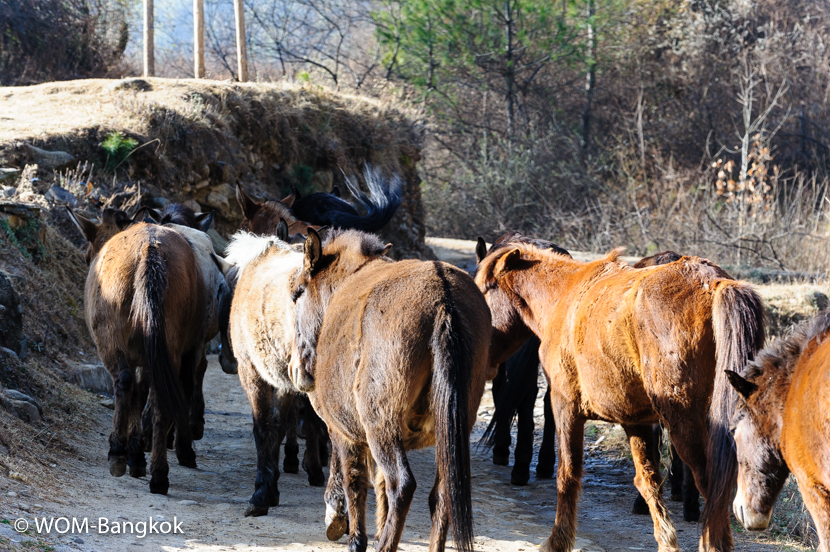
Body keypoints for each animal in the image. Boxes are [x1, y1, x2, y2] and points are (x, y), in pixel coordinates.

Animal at [290, 227, 494, 552]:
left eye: (297, 293)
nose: (299, 372)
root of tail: (443, 297)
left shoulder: (345, 434)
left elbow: (354, 481)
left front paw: (353, 536)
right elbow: (380, 486)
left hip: (380, 426)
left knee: (402, 484)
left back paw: (384, 544)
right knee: (442, 494)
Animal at [474, 243, 768, 552]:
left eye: (482, 293)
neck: (562, 296)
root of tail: (714, 282)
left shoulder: (565, 407)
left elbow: (567, 474)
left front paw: (558, 540)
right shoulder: (636, 421)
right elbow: (648, 481)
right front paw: (666, 542)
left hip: (684, 424)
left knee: (712, 484)